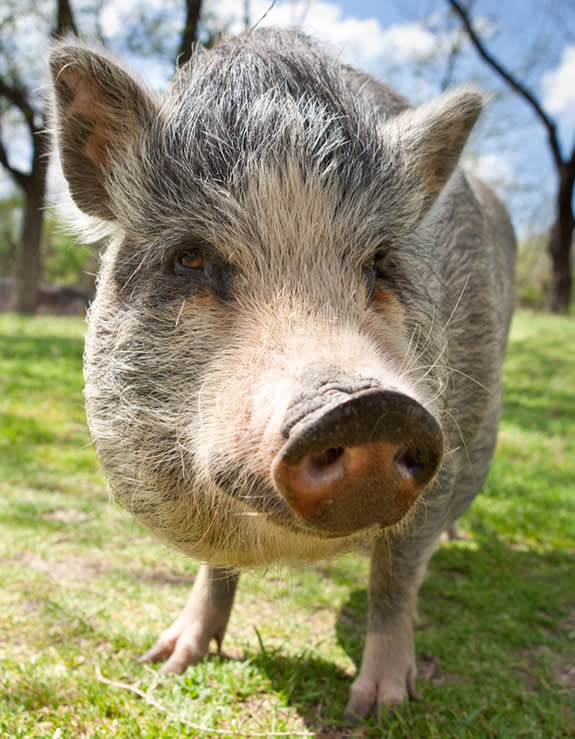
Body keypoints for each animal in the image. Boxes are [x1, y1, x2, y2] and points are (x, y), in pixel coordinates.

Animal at [48, 28, 516, 724]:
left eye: (382, 262)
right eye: (191, 258)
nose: (368, 405)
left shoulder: (449, 443)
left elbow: (394, 577)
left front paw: (378, 711)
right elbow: (215, 566)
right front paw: (165, 661)